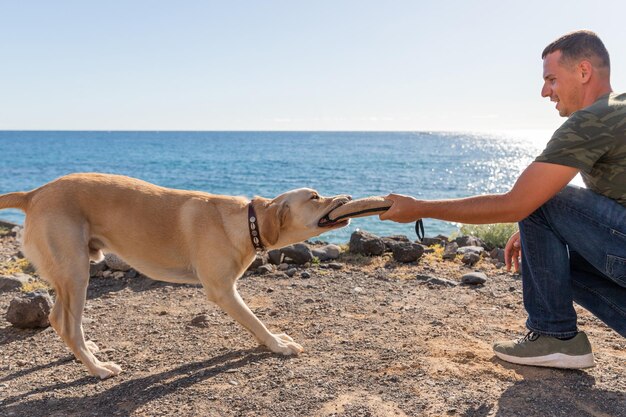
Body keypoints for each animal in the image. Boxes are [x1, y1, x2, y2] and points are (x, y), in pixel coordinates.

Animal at [0, 172, 352, 376]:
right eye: (314, 196)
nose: (348, 197)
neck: (247, 220)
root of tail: (33, 194)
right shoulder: (223, 291)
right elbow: (256, 322)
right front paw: (277, 345)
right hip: (75, 272)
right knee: (66, 324)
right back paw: (97, 368)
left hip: (70, 273)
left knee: (60, 319)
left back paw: (87, 353)